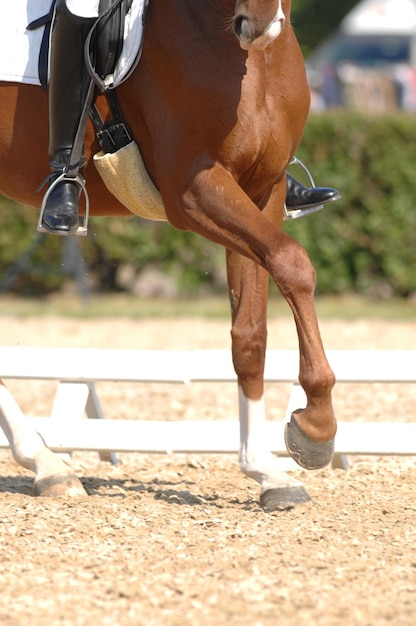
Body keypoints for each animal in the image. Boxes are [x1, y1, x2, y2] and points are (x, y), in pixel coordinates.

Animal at [0, 0, 334, 508]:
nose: (256, 28)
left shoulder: (264, 192)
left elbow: (251, 332)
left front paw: (267, 471)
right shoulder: (193, 192)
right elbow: (294, 263)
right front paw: (316, 426)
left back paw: (47, 465)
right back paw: (47, 464)